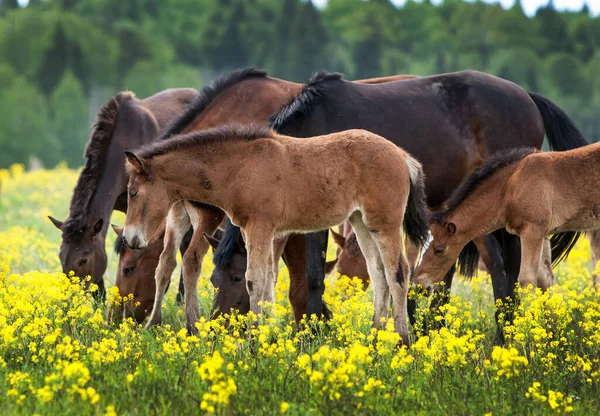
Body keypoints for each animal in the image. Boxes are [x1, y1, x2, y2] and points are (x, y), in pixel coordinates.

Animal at [123, 124, 432, 344]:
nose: (129, 238)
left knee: (398, 271)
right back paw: (374, 338)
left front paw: (253, 341)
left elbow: (255, 280)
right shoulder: (256, 230)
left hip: (385, 223)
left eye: (133, 192)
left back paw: (402, 341)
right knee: (378, 273)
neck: (240, 167)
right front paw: (265, 336)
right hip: (361, 222)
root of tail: (404, 157)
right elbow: (267, 281)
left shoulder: (261, 226)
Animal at [412, 144, 600, 292]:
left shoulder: (532, 231)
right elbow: (545, 280)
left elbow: (527, 280)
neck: (511, 186)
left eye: (439, 250)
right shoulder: (541, 234)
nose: (418, 284)